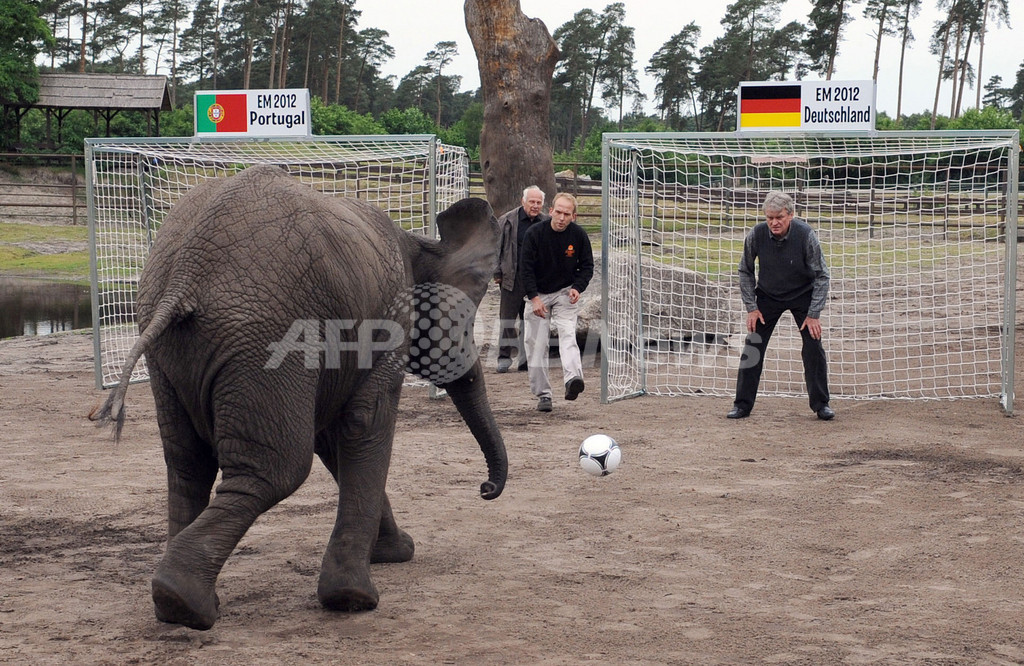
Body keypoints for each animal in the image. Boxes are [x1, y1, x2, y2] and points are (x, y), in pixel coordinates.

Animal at [92, 164, 507, 627]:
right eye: (463, 323)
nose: (486, 488)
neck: (420, 242)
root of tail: (185, 274)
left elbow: (333, 439)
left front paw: (395, 553)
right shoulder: (387, 326)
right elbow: (363, 422)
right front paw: (354, 598)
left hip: (170, 350)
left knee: (187, 463)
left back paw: (176, 603)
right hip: (267, 338)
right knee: (275, 470)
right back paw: (184, 599)